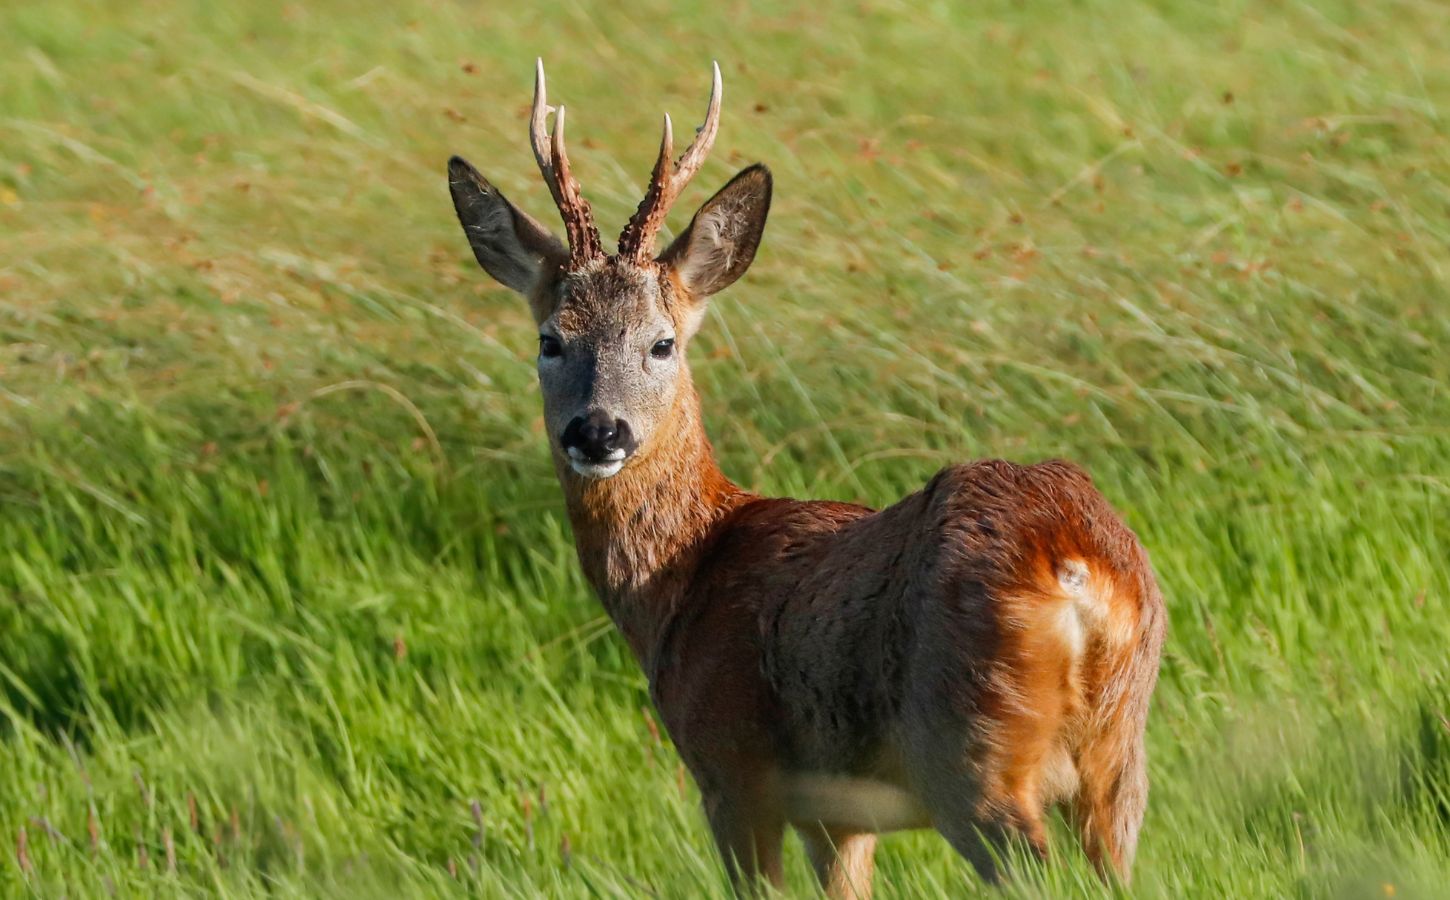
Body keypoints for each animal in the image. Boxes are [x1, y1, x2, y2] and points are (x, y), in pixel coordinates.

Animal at [446, 60, 1166, 897]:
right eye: (549, 339)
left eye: (662, 343)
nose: (598, 431)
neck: (685, 575)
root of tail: (1073, 561)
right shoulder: (839, 817)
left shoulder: (732, 773)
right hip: (1119, 760)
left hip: (968, 749)